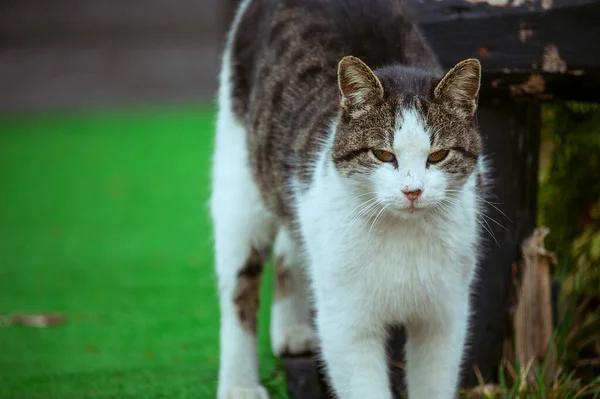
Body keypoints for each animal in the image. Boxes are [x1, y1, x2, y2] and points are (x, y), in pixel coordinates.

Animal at [211, 0, 488, 399]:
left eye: (437, 156)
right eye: (383, 154)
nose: (413, 190)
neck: (402, 236)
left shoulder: (444, 316)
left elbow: (433, 382)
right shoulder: (347, 324)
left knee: (288, 248)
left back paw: (292, 331)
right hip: (239, 187)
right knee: (239, 288)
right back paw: (239, 383)